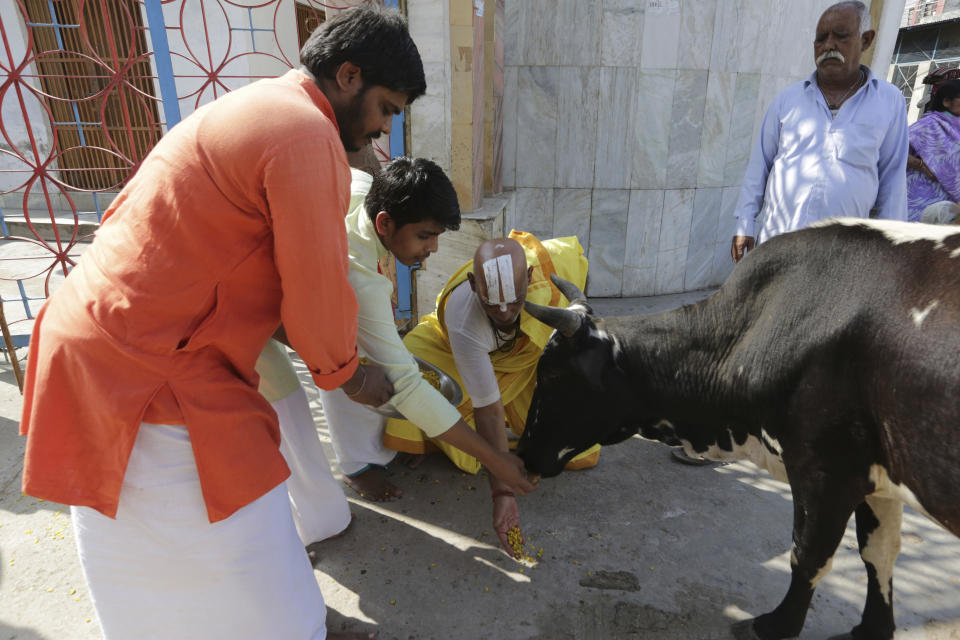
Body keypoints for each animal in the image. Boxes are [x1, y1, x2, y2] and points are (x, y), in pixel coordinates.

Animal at [516, 219, 960, 640]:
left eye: (551, 375)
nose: (522, 452)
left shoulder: (826, 473)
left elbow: (808, 555)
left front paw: (776, 625)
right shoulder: (878, 480)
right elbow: (878, 552)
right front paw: (871, 629)